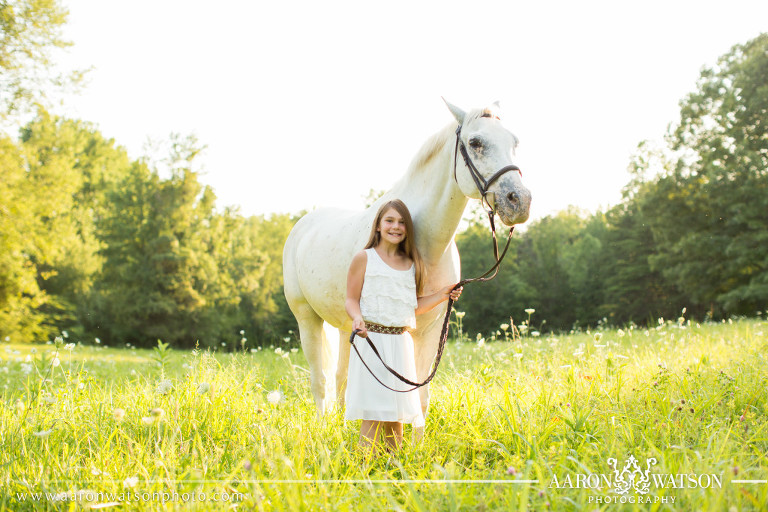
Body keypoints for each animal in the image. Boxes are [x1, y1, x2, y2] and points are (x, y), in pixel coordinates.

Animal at [284, 99, 536, 428]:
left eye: (514, 142)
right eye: (475, 142)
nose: (519, 201)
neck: (423, 243)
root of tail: (303, 225)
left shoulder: (429, 330)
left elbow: (419, 395)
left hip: (344, 325)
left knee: (341, 378)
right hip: (307, 319)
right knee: (321, 381)